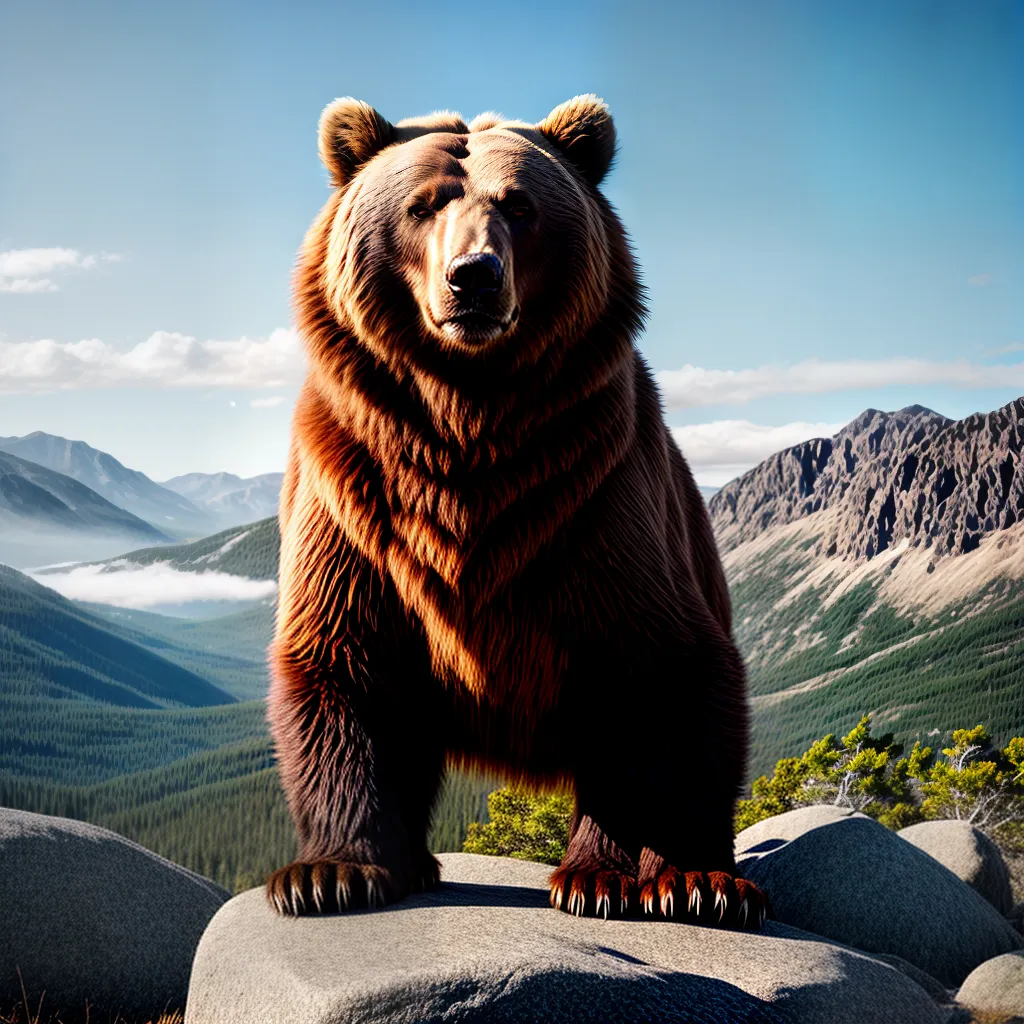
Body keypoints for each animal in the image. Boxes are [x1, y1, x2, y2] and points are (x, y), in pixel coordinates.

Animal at [266, 94, 767, 930]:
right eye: (423, 204)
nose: (474, 276)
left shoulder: (595, 498)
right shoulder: (356, 498)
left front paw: (671, 882)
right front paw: (329, 873)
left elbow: (662, 672)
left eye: (520, 205)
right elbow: (341, 660)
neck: (470, 417)